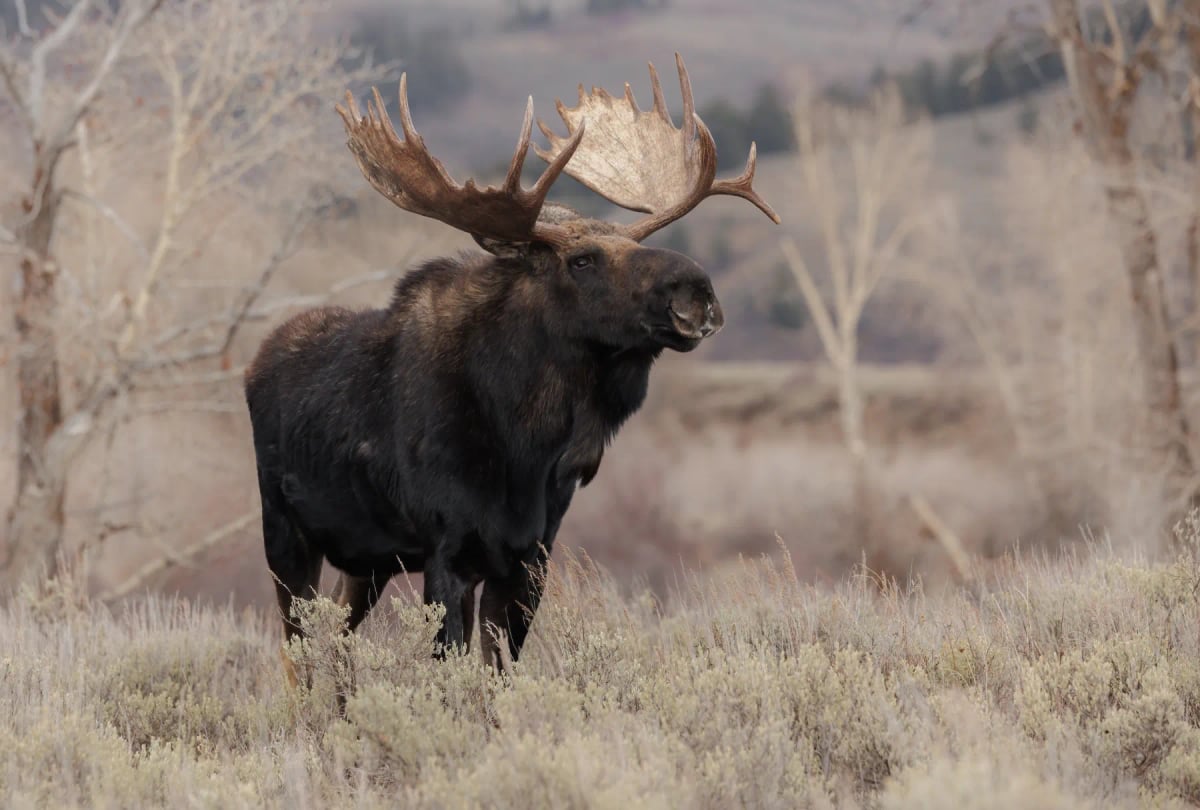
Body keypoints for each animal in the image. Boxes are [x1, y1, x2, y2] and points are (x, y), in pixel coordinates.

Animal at [243, 53, 779, 685]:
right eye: (581, 260)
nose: (696, 292)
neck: (527, 442)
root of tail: (255, 362)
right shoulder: (447, 550)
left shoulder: (528, 558)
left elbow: (499, 675)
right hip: (285, 535)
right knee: (297, 655)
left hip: (368, 560)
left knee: (339, 642)